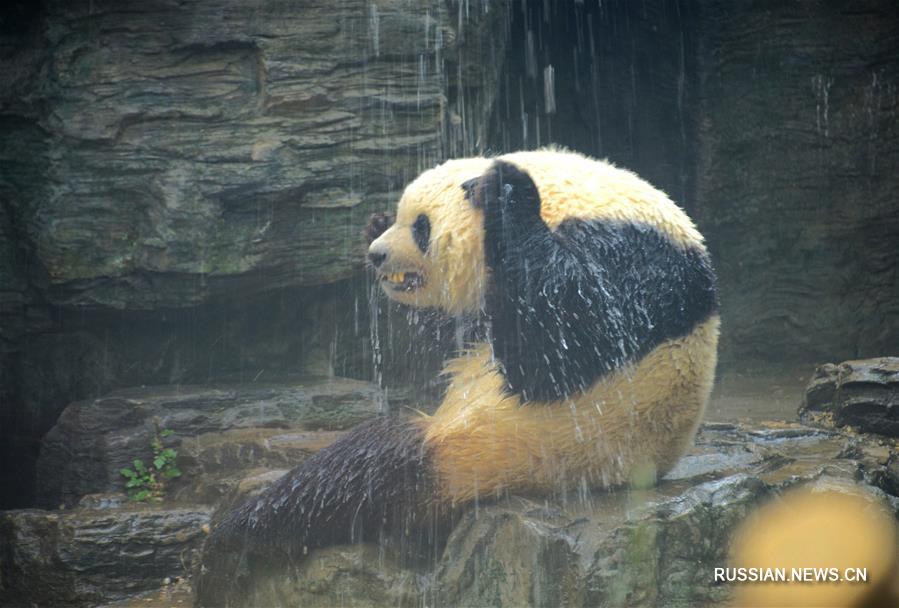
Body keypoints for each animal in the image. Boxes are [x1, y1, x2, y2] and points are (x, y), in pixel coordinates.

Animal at [195, 148, 716, 608]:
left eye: (422, 227)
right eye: (399, 218)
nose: (377, 255)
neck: (573, 197)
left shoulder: (629, 254)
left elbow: (562, 340)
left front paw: (505, 192)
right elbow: (461, 336)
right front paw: (373, 222)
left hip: (500, 452)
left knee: (365, 468)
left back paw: (238, 530)